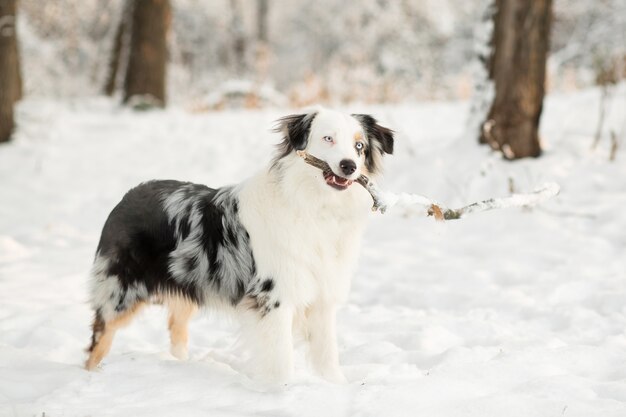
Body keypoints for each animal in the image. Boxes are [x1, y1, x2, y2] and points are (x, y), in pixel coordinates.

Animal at [85, 106, 392, 380]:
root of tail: (128, 195)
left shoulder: (323, 294)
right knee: (100, 336)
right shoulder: (274, 295)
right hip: (121, 291)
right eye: (328, 138)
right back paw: (90, 374)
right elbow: (281, 359)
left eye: (359, 146)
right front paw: (283, 391)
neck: (315, 206)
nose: (349, 166)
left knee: (176, 327)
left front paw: (334, 386)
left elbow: (327, 354)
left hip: (187, 286)